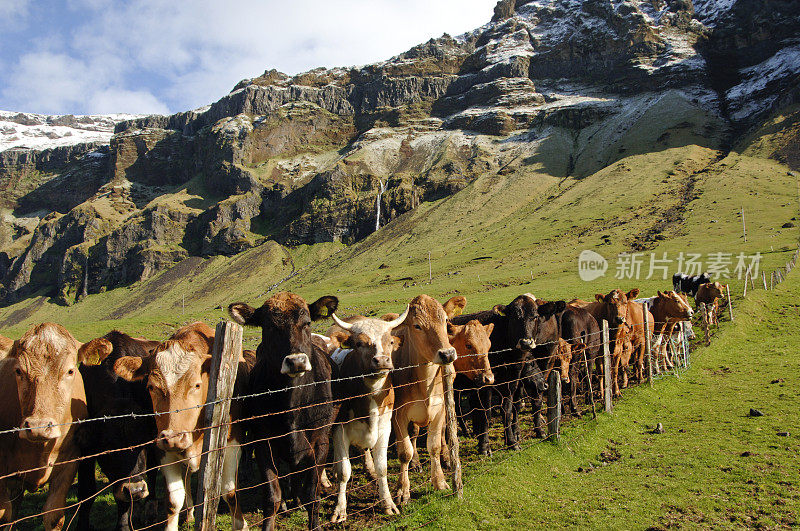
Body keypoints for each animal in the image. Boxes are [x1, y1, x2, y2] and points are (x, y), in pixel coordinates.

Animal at [0, 322, 90, 528]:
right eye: (18, 371)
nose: (38, 426)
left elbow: (53, 515)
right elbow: (4, 515)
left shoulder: (70, 462)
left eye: (70, 371)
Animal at [76, 330, 160, 528]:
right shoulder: (84, 447)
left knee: (152, 470)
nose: (136, 490)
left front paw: (123, 525)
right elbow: (86, 491)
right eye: (108, 446)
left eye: (141, 442)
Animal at [227, 294, 340, 528]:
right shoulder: (263, 443)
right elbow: (272, 497)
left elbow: (312, 494)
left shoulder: (320, 441)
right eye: (269, 326)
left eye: (307, 323)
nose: (296, 361)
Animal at [324, 312, 406, 524]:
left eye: (390, 341)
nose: (382, 360)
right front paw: (340, 509)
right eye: (359, 344)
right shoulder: (339, 429)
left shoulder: (385, 427)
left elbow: (382, 467)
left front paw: (388, 503)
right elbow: (344, 471)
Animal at [390, 296, 456, 508]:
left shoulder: (440, 409)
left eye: (445, 320)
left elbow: (434, 446)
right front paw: (402, 491)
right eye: (417, 326)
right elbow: (405, 452)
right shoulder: (398, 415)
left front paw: (440, 482)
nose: (447, 354)